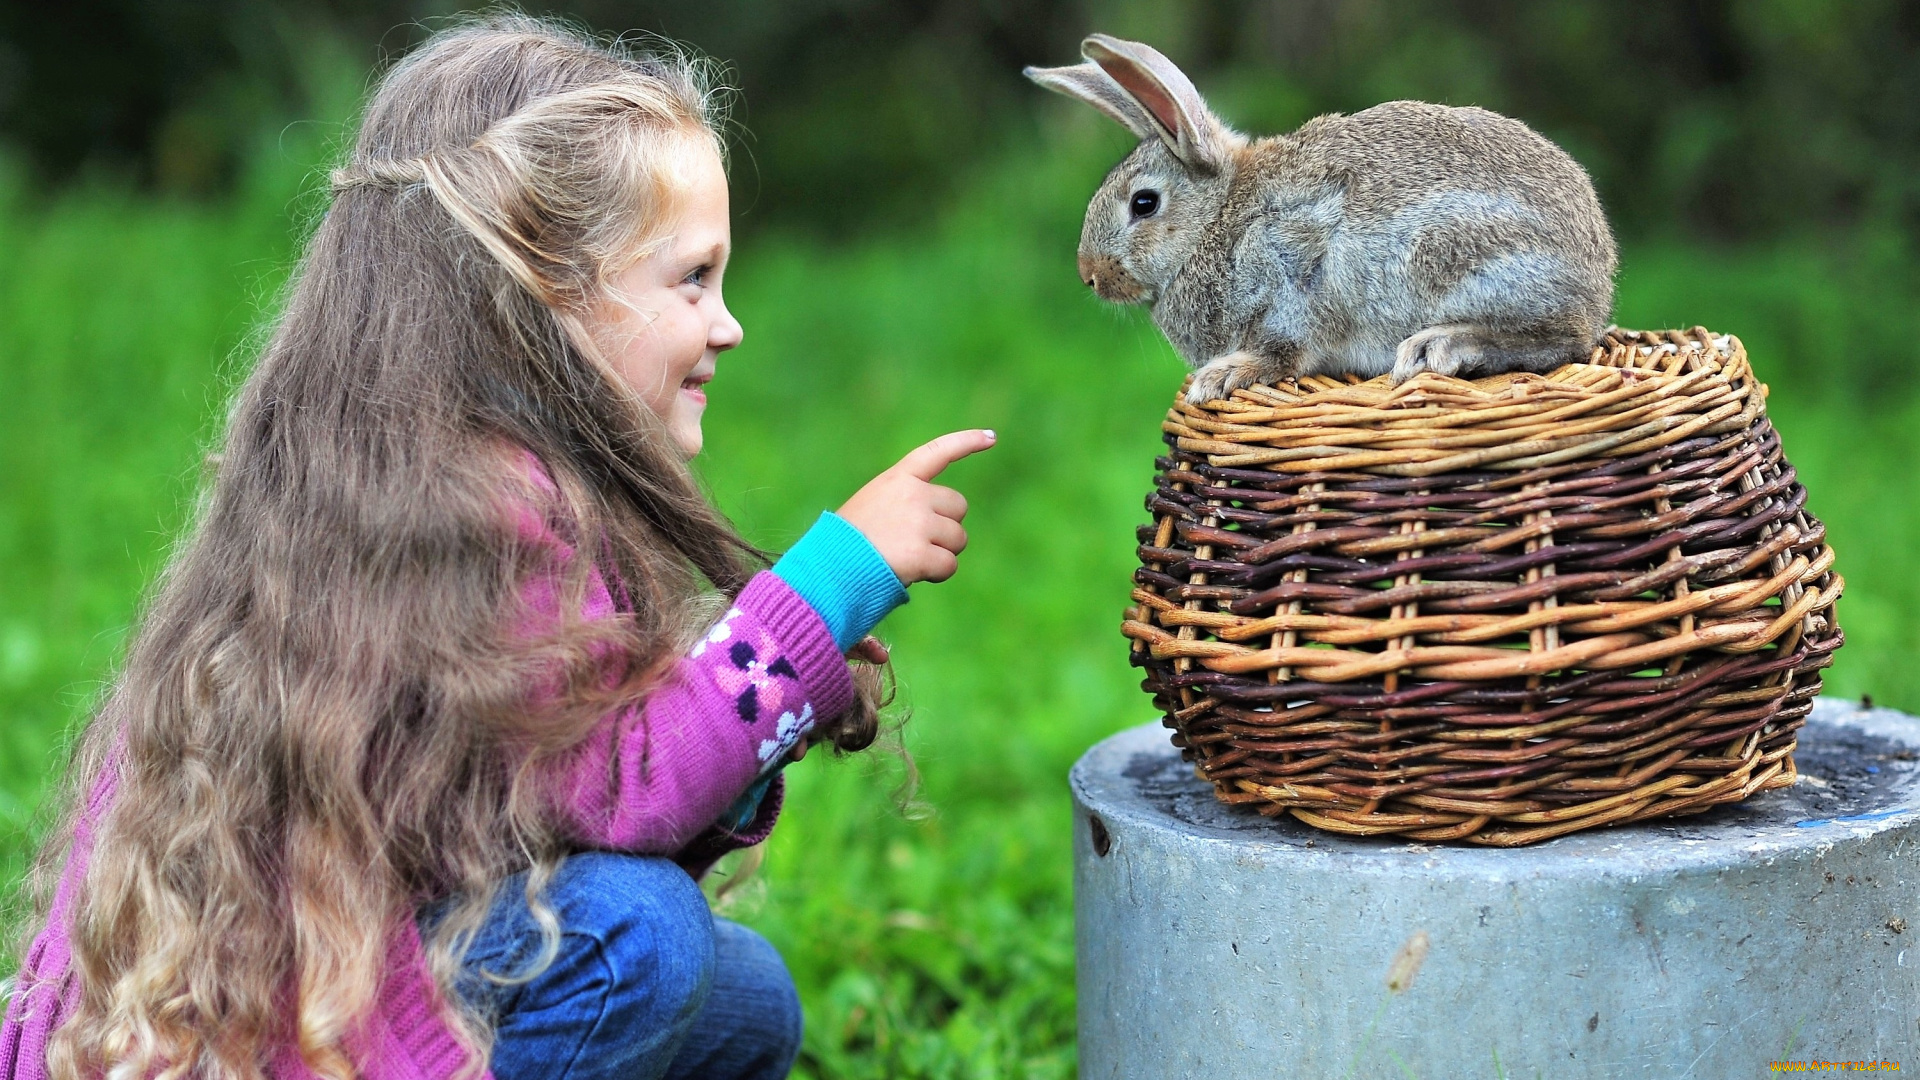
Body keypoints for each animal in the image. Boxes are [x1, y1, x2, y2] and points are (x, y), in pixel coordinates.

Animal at [1029, 36, 1612, 403]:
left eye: (1143, 204)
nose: (1089, 274)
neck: (1217, 220)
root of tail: (1599, 281)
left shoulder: (1285, 275)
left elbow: (1283, 352)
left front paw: (1221, 377)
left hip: (1455, 256)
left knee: (1563, 341)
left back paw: (1440, 347)